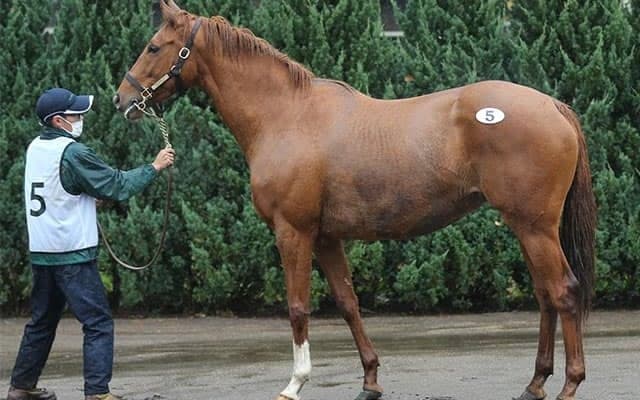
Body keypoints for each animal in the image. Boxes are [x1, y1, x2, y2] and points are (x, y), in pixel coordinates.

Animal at [114, 2, 597, 400]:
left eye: (154, 46)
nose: (123, 99)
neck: (286, 115)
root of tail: (553, 106)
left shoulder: (294, 232)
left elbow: (297, 307)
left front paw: (295, 383)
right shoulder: (327, 238)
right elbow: (348, 304)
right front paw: (370, 381)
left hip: (534, 227)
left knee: (563, 290)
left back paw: (569, 385)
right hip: (527, 226)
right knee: (545, 294)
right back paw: (535, 383)